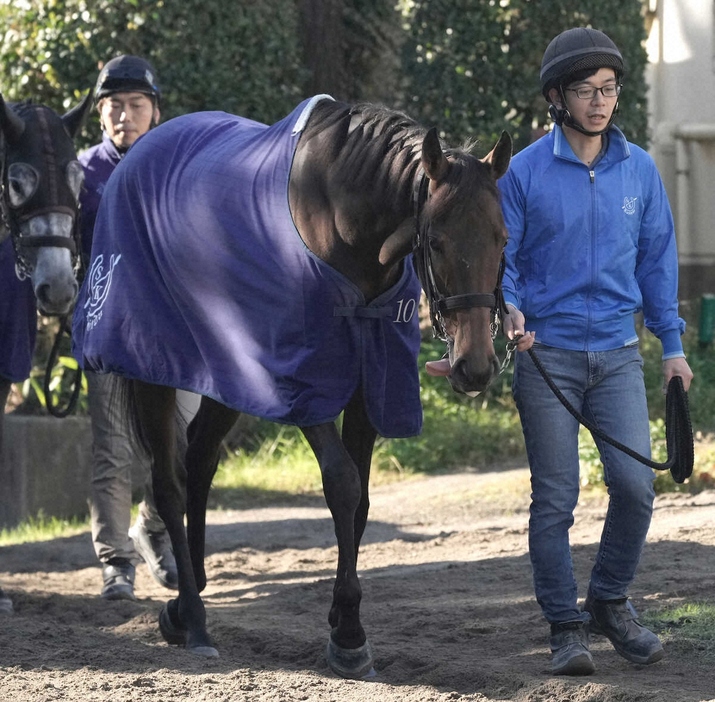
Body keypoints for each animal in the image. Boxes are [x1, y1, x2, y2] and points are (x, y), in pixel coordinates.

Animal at [71, 96, 510, 680]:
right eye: (436, 241)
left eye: (502, 238)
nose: (475, 367)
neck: (339, 221)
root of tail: (133, 159)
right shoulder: (303, 383)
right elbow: (342, 484)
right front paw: (348, 634)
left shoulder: (368, 381)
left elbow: (362, 500)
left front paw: (340, 616)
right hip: (154, 373)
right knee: (168, 483)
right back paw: (194, 618)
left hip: (223, 372)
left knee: (200, 460)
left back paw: (186, 605)